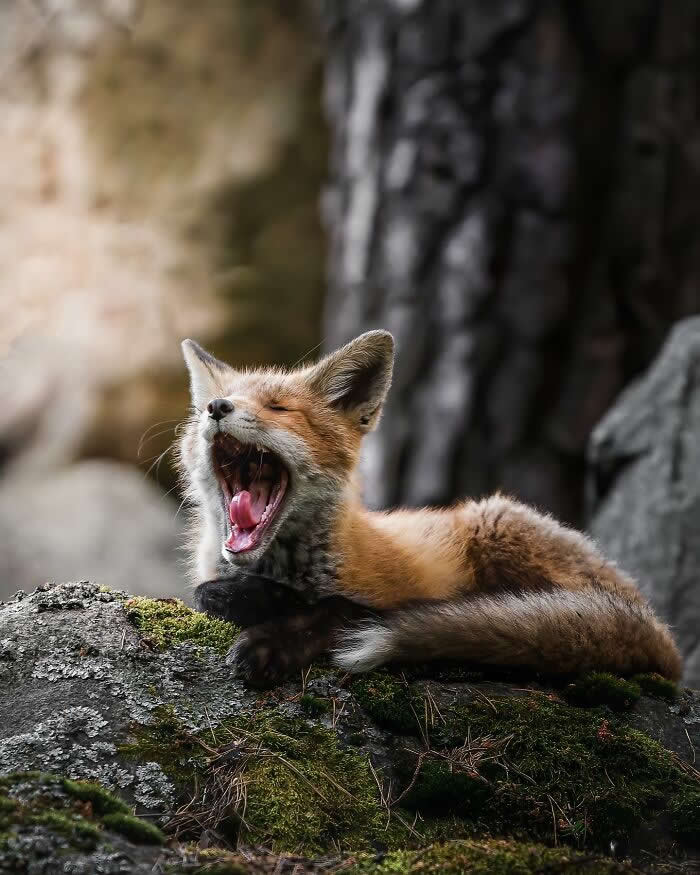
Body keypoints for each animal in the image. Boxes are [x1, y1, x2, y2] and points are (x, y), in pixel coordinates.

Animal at [178, 330, 682, 688]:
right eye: (207, 407)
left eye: (278, 408)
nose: (216, 407)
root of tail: (657, 625)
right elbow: (207, 593)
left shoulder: (390, 594)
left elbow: (339, 610)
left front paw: (271, 639)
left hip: (496, 524)